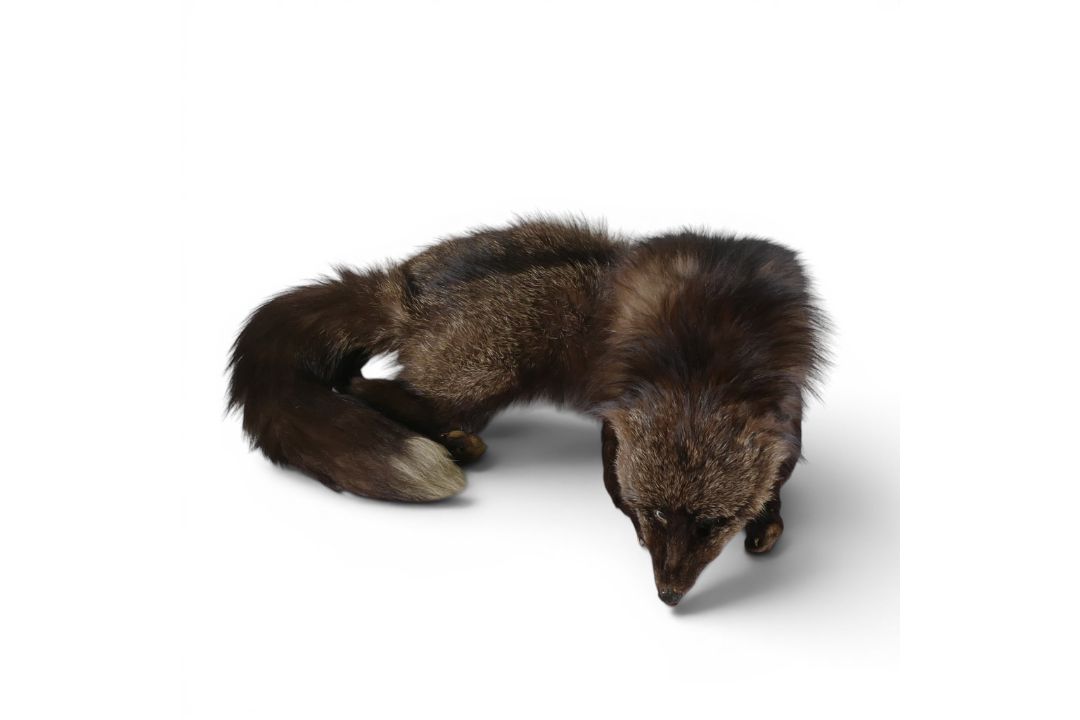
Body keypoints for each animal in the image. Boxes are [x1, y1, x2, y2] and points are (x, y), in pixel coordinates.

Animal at [227, 217, 827, 605]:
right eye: (657, 513)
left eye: (712, 524)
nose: (668, 595)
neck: (707, 356)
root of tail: (406, 289)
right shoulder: (617, 413)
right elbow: (613, 479)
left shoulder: (786, 414)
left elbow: (776, 478)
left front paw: (767, 521)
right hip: (483, 376)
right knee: (362, 385)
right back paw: (457, 442)